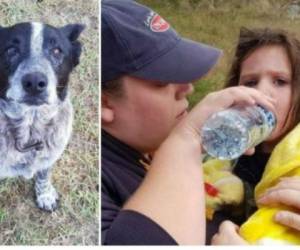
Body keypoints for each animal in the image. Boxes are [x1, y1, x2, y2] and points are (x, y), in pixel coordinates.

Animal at [0, 22, 85, 212]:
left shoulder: (49, 156)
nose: (34, 82)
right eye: (11, 50)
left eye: (57, 50)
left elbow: (43, 174)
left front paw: (45, 195)